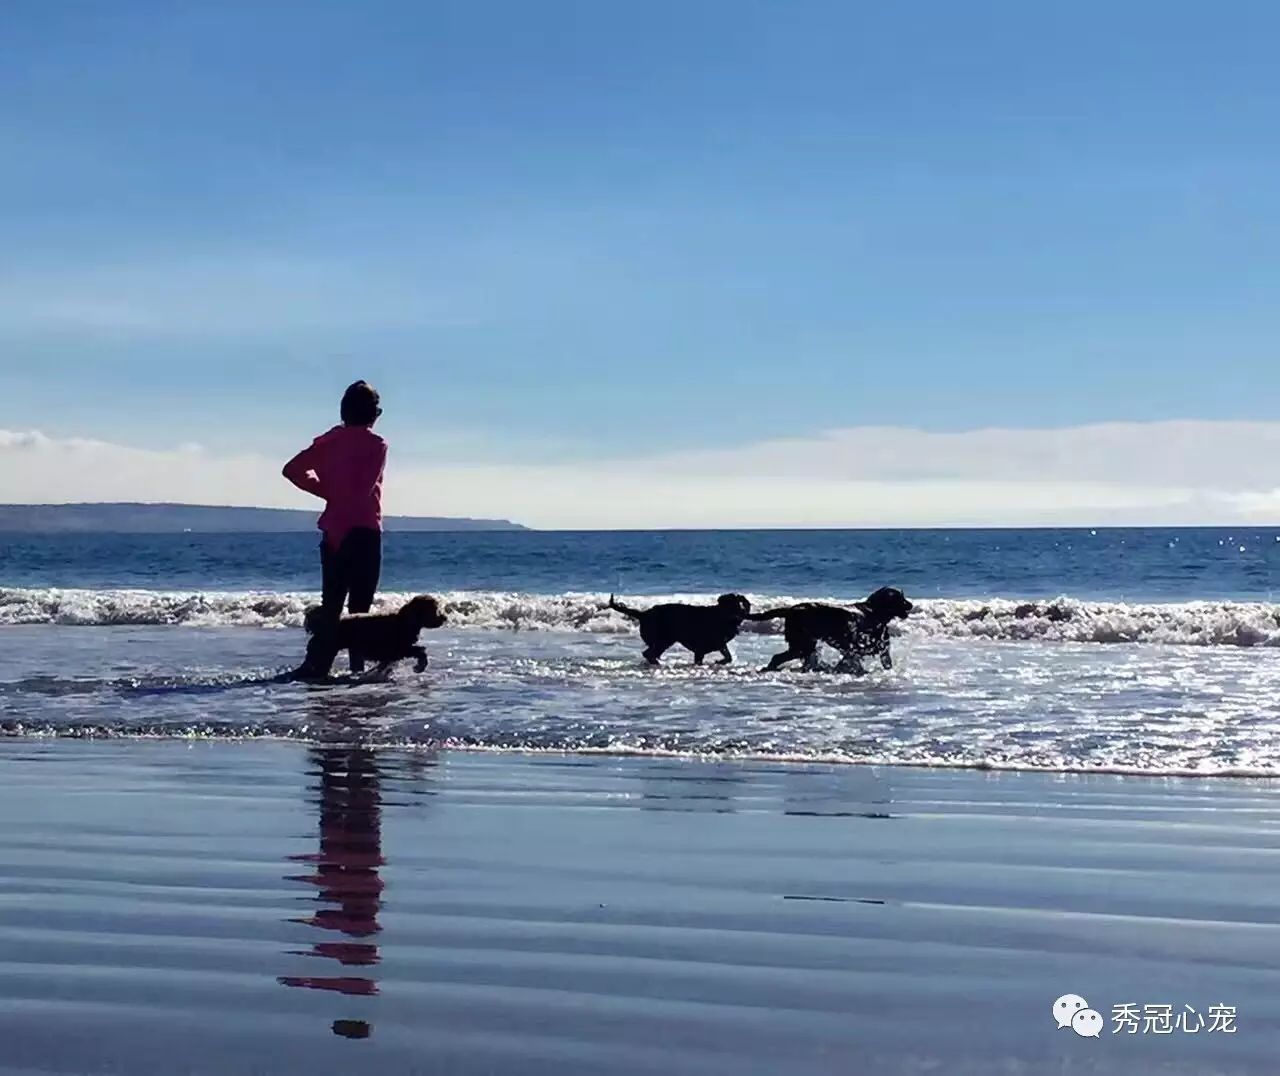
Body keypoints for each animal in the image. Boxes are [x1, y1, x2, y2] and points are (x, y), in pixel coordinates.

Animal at [298, 591, 448, 675]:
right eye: (434, 609)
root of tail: (321, 627)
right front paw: (420, 666)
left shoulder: (393, 652)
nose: (444, 618)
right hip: (323, 653)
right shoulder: (399, 648)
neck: (405, 620)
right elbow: (420, 651)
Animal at [606, 596, 747, 665]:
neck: (720, 616)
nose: (740, 616)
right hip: (663, 640)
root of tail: (643, 614)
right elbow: (726, 656)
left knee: (649, 654)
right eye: (731, 605)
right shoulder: (705, 646)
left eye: (739, 605)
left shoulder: (708, 647)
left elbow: (727, 656)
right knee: (649, 654)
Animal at [747, 588, 916, 670]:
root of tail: (792, 608)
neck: (874, 612)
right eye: (900, 598)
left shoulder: (877, 651)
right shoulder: (855, 649)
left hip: (805, 645)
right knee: (778, 657)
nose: (911, 605)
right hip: (802, 644)